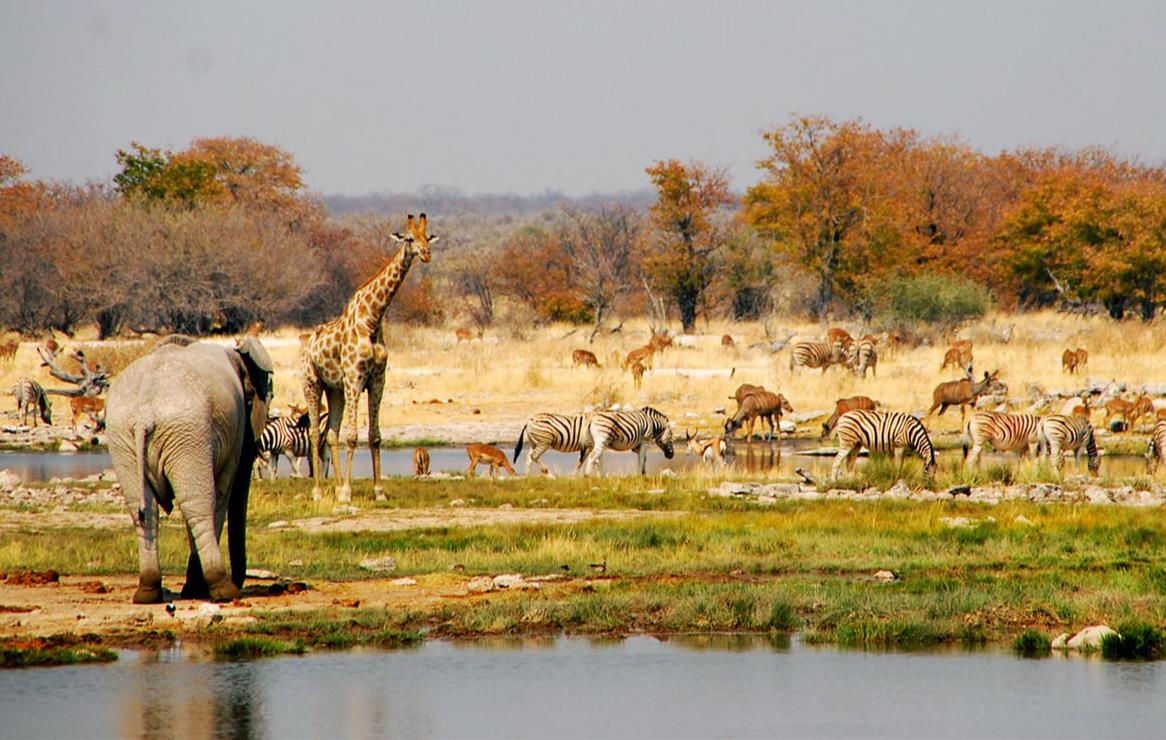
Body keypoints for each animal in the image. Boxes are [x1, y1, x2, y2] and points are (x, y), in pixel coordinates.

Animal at [104, 337, 272, 605]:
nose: (240, 582)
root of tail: (144, 415)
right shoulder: (232, 436)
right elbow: (221, 494)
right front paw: (197, 590)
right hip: (186, 431)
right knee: (199, 504)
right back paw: (223, 591)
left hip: (123, 437)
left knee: (143, 508)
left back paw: (147, 592)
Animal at [303, 214, 438, 503]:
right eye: (409, 239)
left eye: (427, 237)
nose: (426, 254)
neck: (373, 320)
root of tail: (308, 343)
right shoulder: (355, 378)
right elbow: (353, 436)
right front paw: (346, 492)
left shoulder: (377, 381)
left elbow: (374, 436)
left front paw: (378, 491)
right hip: (312, 383)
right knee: (314, 432)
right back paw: (319, 491)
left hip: (335, 390)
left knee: (331, 433)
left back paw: (335, 486)